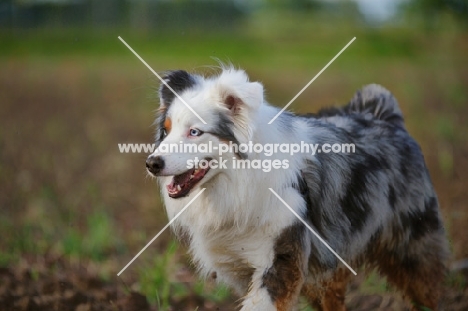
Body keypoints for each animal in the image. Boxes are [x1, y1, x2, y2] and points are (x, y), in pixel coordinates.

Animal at [146, 68, 450, 311]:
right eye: (167, 130)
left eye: (195, 132)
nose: (152, 163)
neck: (238, 181)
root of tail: (383, 114)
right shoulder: (243, 266)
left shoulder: (282, 256)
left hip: (412, 247)